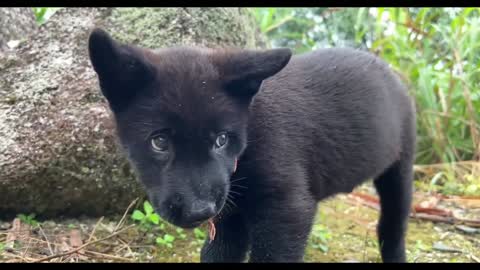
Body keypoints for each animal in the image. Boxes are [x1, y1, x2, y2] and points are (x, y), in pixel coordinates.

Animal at [88, 27, 414, 262]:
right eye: (159, 142)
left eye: (221, 139)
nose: (199, 210)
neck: (247, 142)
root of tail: (388, 71)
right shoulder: (228, 217)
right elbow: (216, 254)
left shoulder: (288, 210)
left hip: (401, 168)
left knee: (392, 227)